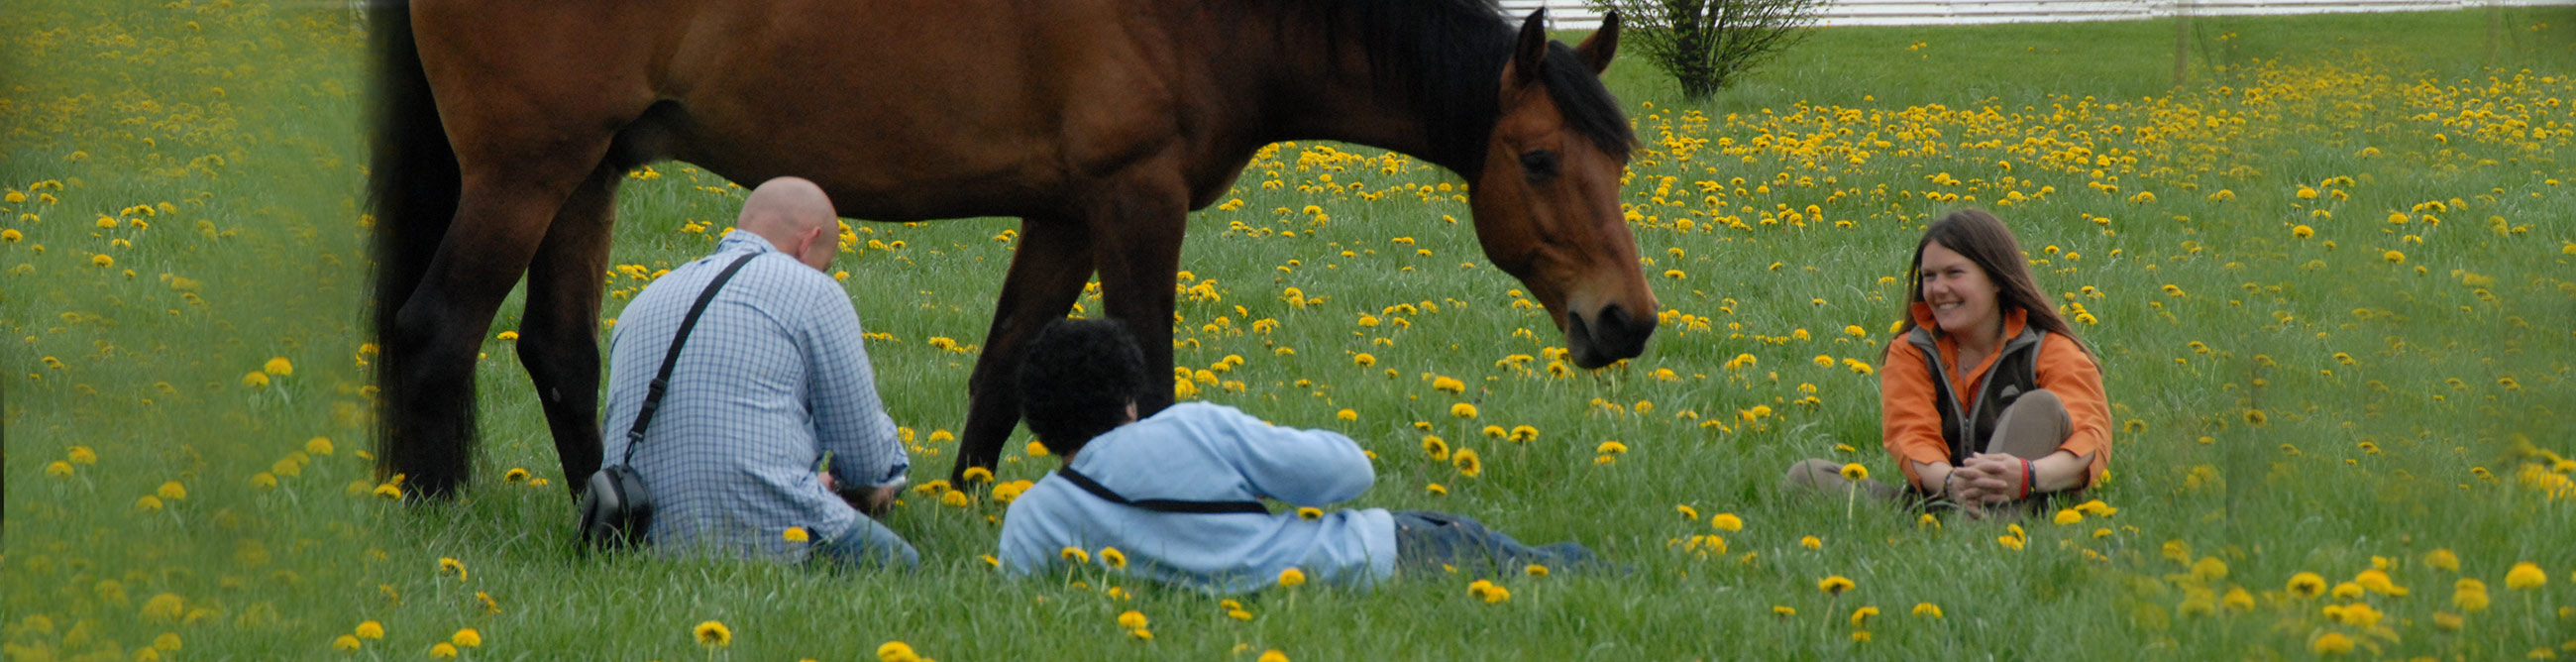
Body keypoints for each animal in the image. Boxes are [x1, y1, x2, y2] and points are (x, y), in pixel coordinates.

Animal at [369, 0, 1660, 498]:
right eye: (1538, 160)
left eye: (1617, 163)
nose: (1624, 319)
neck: (1207, 18)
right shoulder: (1133, 201)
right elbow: (1150, 368)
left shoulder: (1064, 212)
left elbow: (1003, 365)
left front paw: (970, 504)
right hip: (527, 172)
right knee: (437, 331)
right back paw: (436, 518)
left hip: (588, 171)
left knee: (559, 351)